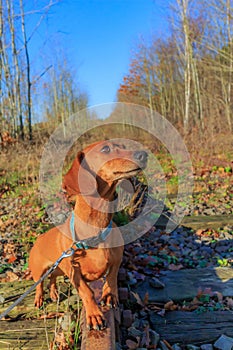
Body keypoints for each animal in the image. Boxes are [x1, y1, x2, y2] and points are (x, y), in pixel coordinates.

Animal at [29, 139, 147, 328]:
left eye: (122, 145)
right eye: (105, 149)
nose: (143, 154)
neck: (96, 230)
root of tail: (39, 238)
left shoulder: (116, 261)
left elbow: (111, 279)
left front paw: (109, 296)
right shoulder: (74, 272)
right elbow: (87, 292)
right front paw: (94, 315)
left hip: (57, 269)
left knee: (52, 278)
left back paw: (54, 293)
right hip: (39, 271)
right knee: (39, 285)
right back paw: (39, 299)